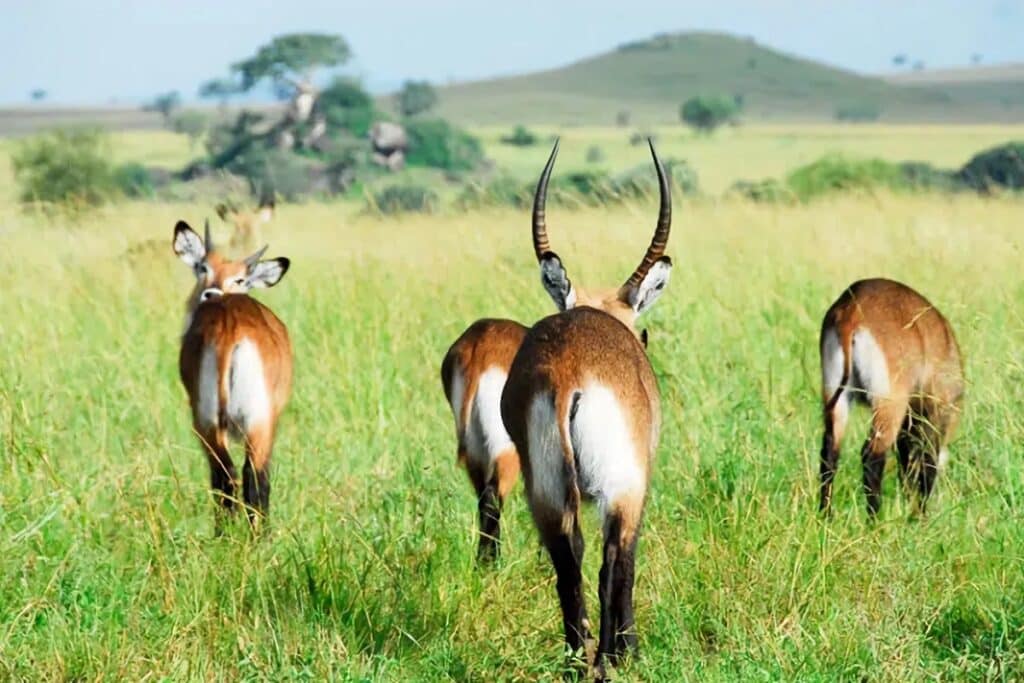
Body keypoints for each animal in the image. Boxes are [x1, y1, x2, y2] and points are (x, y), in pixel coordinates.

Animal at [172, 222, 292, 532]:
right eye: (202, 267)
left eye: (241, 278)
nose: (210, 292)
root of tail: (230, 327)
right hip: (253, 423)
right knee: (246, 478)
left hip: (211, 423)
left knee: (229, 476)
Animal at [497, 140, 671, 679]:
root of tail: (569, 374)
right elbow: (625, 562)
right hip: (621, 488)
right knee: (612, 561)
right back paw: (614, 657)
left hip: (546, 492)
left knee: (567, 563)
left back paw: (578, 659)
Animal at [819, 278, 962, 518]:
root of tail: (852, 308)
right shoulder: (934, 416)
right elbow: (927, 464)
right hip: (889, 404)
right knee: (872, 457)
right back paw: (875, 519)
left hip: (837, 399)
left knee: (829, 453)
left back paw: (826, 516)